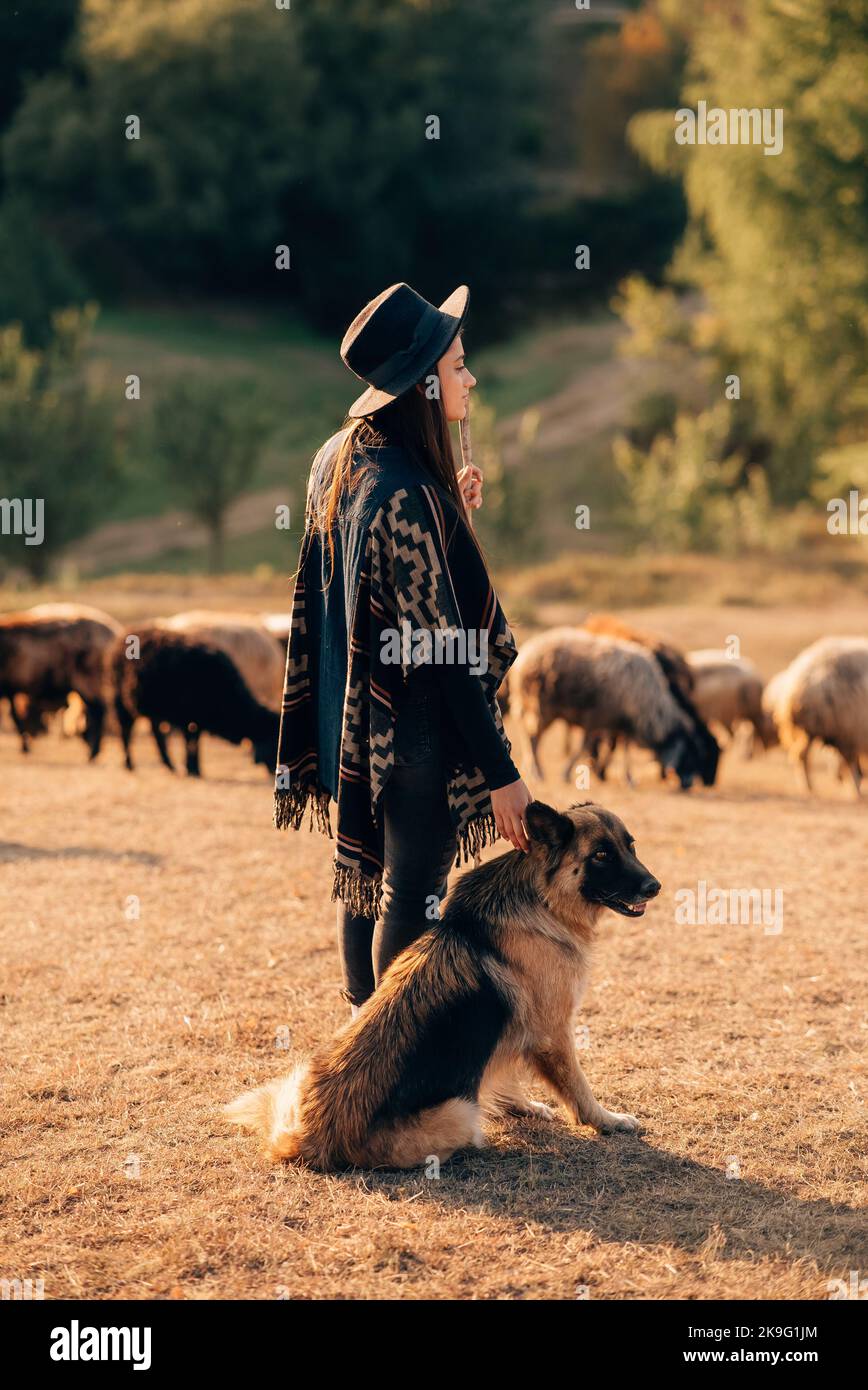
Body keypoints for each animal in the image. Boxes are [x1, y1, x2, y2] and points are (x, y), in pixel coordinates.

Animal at [0, 606, 121, 761]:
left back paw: (92, 753)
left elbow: (16, 718)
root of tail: (111, 631)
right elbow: (16, 716)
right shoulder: (11, 690)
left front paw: (25, 747)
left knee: (97, 713)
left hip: (89, 683)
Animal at [108, 628, 278, 778]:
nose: (275, 772)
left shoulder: (197, 719)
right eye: (273, 739)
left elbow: (195, 743)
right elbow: (190, 743)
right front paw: (192, 769)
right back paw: (129, 765)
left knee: (156, 733)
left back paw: (170, 765)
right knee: (125, 731)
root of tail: (122, 638)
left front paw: (195, 769)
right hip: (121, 701)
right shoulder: (188, 716)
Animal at [223, 800, 656, 1167]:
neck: (543, 898)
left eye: (630, 846)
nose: (655, 887)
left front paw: (521, 1106)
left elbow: (502, 1069)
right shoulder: (554, 1034)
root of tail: (305, 1138)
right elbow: (579, 1089)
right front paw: (607, 1121)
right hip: (458, 1111)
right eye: (601, 855)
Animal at [509, 631, 712, 795]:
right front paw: (567, 773)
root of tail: (526, 653)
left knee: (532, 736)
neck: (650, 707)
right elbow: (584, 746)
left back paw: (533, 769)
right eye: (690, 755)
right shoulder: (596, 718)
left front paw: (627, 777)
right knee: (532, 737)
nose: (687, 785)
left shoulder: (620, 723)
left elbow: (622, 749)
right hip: (540, 705)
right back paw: (536, 771)